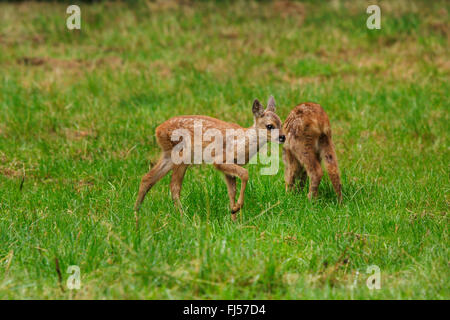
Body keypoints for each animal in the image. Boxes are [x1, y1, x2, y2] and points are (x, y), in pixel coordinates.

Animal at [134, 95, 284, 220]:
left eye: (281, 123)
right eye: (269, 126)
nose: (283, 137)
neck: (242, 142)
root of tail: (158, 130)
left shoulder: (229, 168)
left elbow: (232, 191)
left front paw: (234, 217)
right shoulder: (220, 160)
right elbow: (245, 174)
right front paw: (237, 208)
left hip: (168, 155)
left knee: (147, 178)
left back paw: (136, 213)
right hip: (182, 154)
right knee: (174, 187)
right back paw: (183, 218)